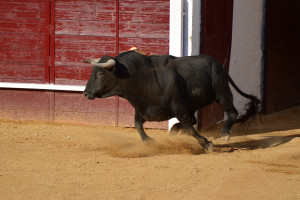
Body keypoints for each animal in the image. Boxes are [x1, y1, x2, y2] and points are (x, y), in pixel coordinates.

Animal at [83, 50, 262, 152]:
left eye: (100, 73)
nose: (85, 93)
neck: (140, 78)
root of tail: (218, 64)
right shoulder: (142, 110)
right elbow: (137, 125)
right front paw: (150, 142)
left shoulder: (178, 107)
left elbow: (189, 128)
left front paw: (206, 144)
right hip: (196, 103)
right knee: (193, 119)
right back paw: (175, 131)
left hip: (222, 93)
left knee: (231, 112)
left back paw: (225, 134)